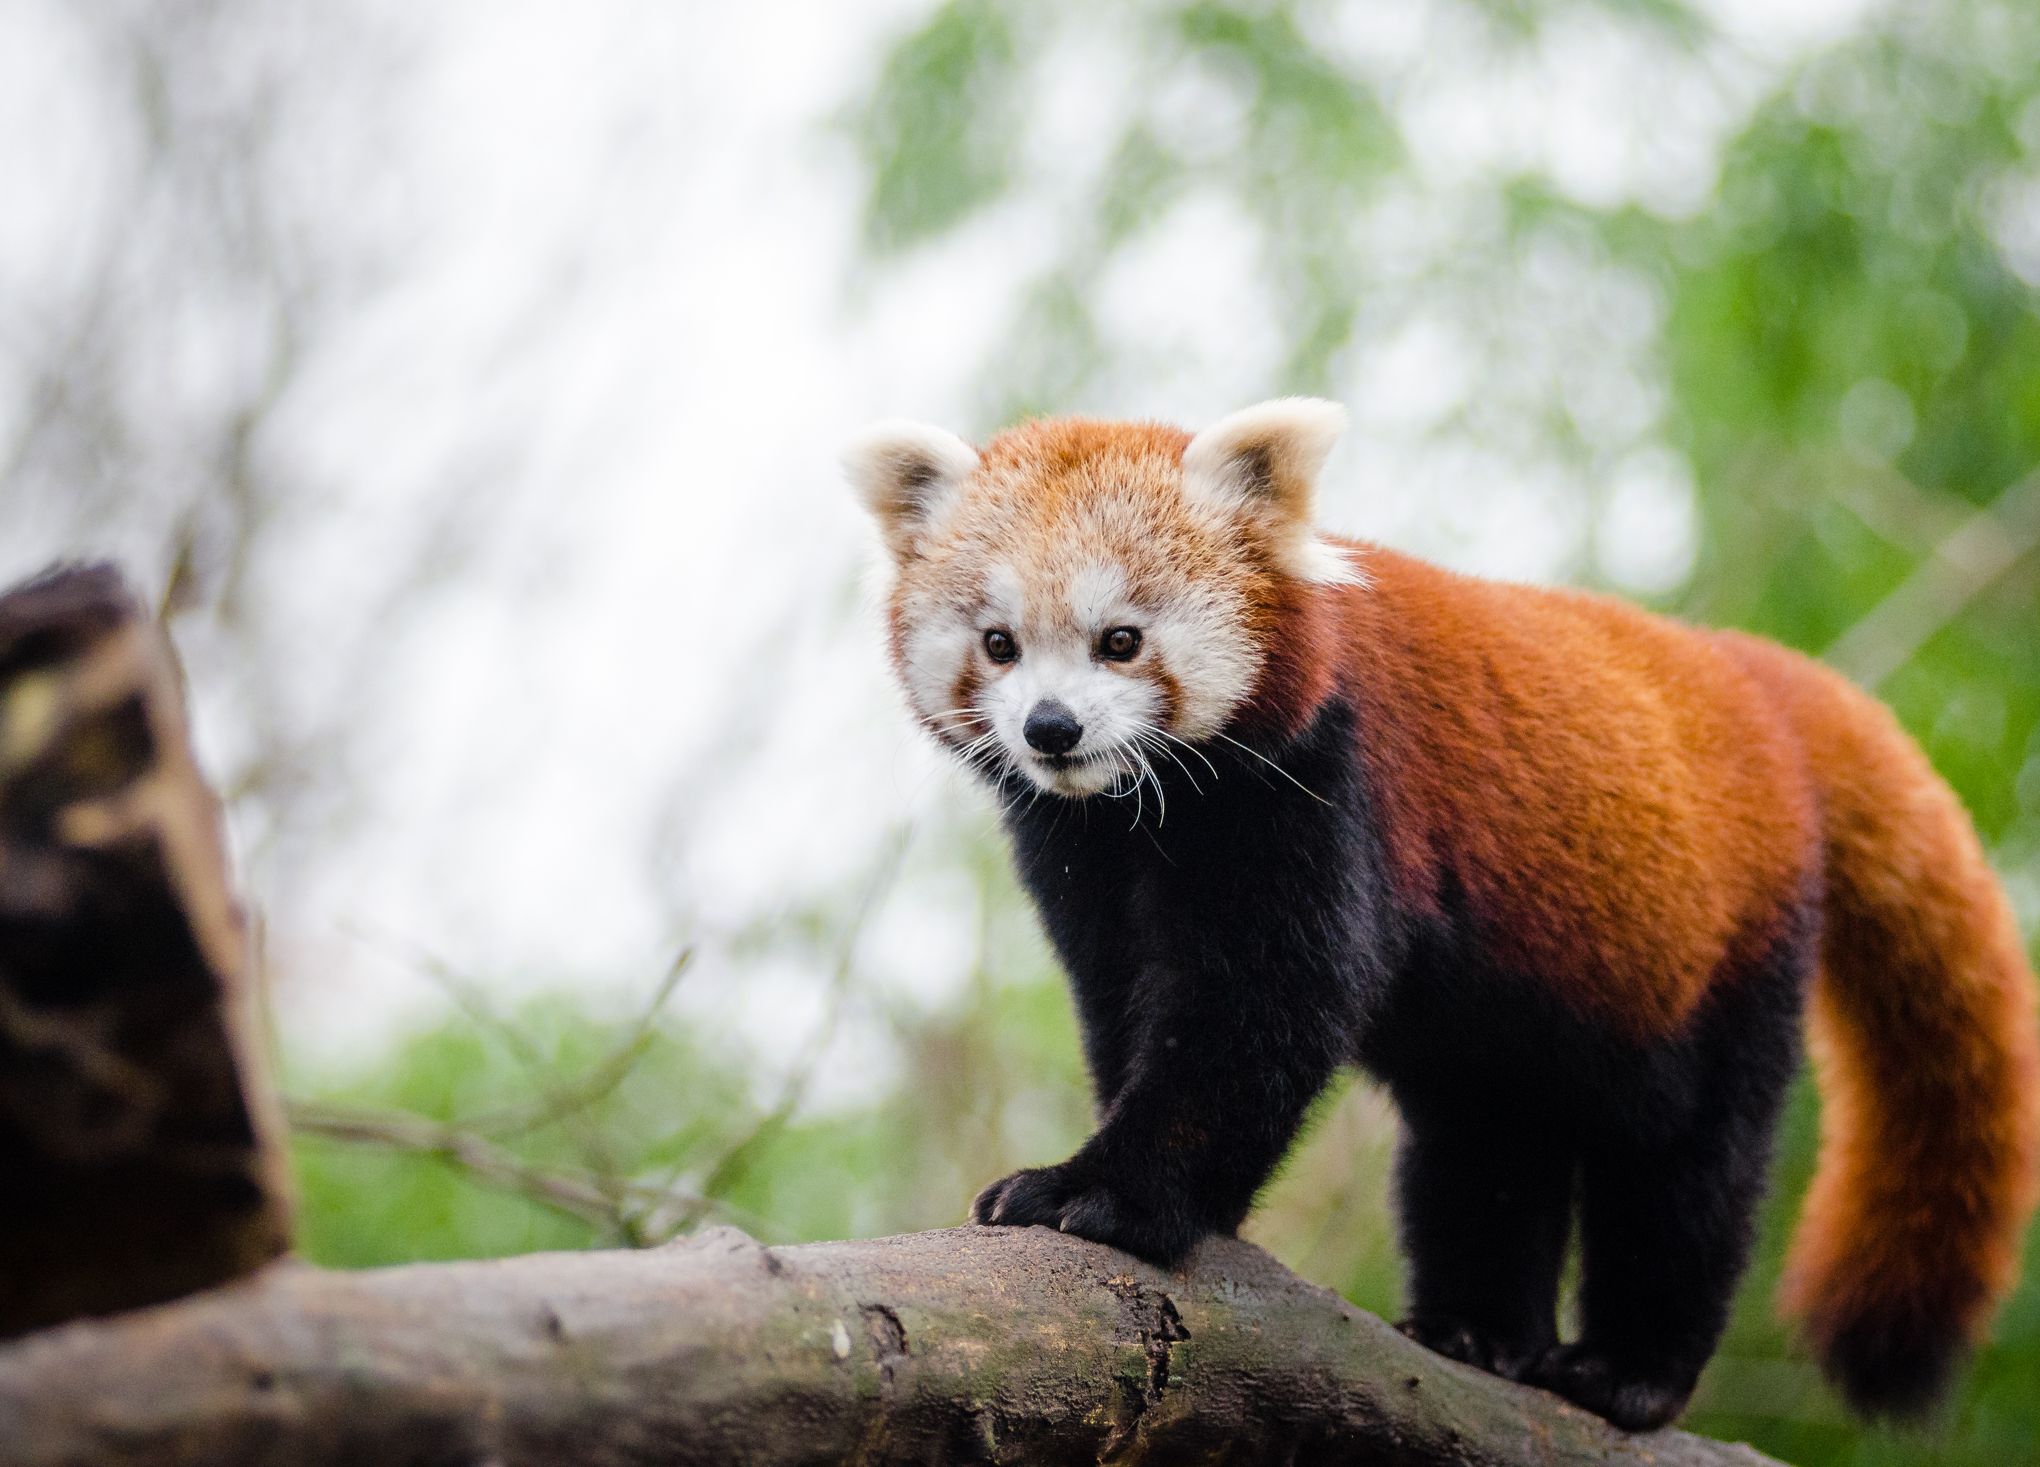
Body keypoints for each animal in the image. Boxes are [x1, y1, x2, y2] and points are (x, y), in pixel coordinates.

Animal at [844, 395, 2040, 1428]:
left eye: (1121, 640)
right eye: (999, 643)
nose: (1050, 729)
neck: (1157, 818)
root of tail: (1751, 678)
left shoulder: (1330, 785)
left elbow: (1262, 1011)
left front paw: (1109, 1193)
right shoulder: (1085, 855)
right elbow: (1128, 1003)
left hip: (1718, 946)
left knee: (1689, 1162)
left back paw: (1629, 1370)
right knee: (1487, 1141)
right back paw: (1479, 1332)